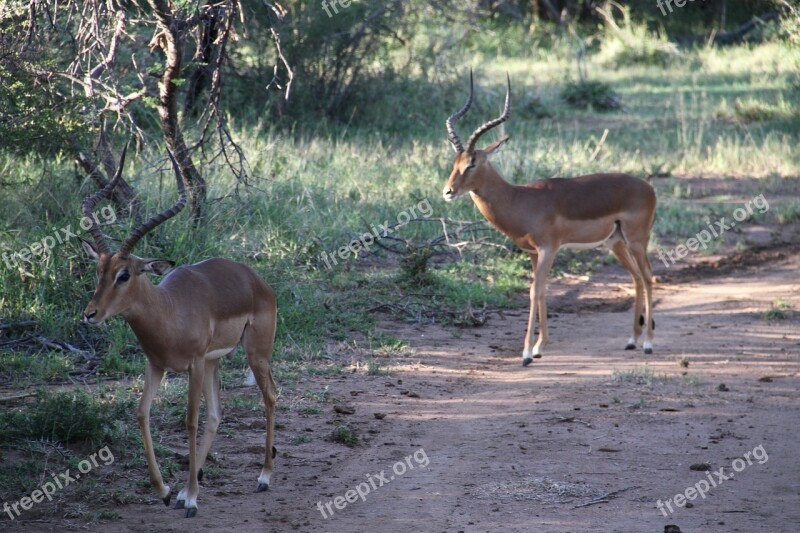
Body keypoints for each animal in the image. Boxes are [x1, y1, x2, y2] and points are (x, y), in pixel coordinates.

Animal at [79, 145, 276, 516]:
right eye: (99, 270)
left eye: (124, 274)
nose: (90, 314)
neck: (169, 310)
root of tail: (255, 278)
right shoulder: (156, 365)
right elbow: (142, 413)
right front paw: (166, 491)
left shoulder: (193, 364)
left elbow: (189, 420)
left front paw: (192, 500)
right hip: (215, 362)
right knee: (216, 415)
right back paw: (190, 485)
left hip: (255, 353)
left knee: (269, 397)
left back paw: (264, 478)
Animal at [444, 72, 656, 366]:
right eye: (455, 162)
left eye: (472, 163)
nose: (448, 191)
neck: (519, 199)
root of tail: (648, 187)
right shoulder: (534, 253)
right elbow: (542, 291)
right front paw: (539, 347)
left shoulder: (548, 249)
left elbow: (535, 291)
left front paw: (526, 354)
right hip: (615, 243)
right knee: (636, 278)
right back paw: (631, 340)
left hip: (636, 240)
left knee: (648, 277)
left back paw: (648, 343)